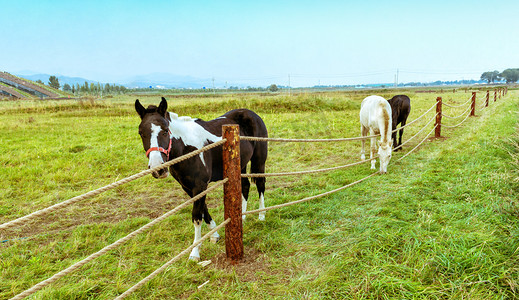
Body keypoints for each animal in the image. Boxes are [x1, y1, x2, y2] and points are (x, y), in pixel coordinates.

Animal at [134, 98, 268, 260]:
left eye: (165, 131)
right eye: (141, 133)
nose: (158, 168)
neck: (186, 148)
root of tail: (251, 114)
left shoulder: (200, 185)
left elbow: (197, 217)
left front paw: (194, 253)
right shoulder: (188, 187)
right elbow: (204, 210)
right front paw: (215, 235)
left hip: (259, 161)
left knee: (260, 184)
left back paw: (261, 215)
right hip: (240, 164)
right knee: (245, 186)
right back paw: (241, 218)